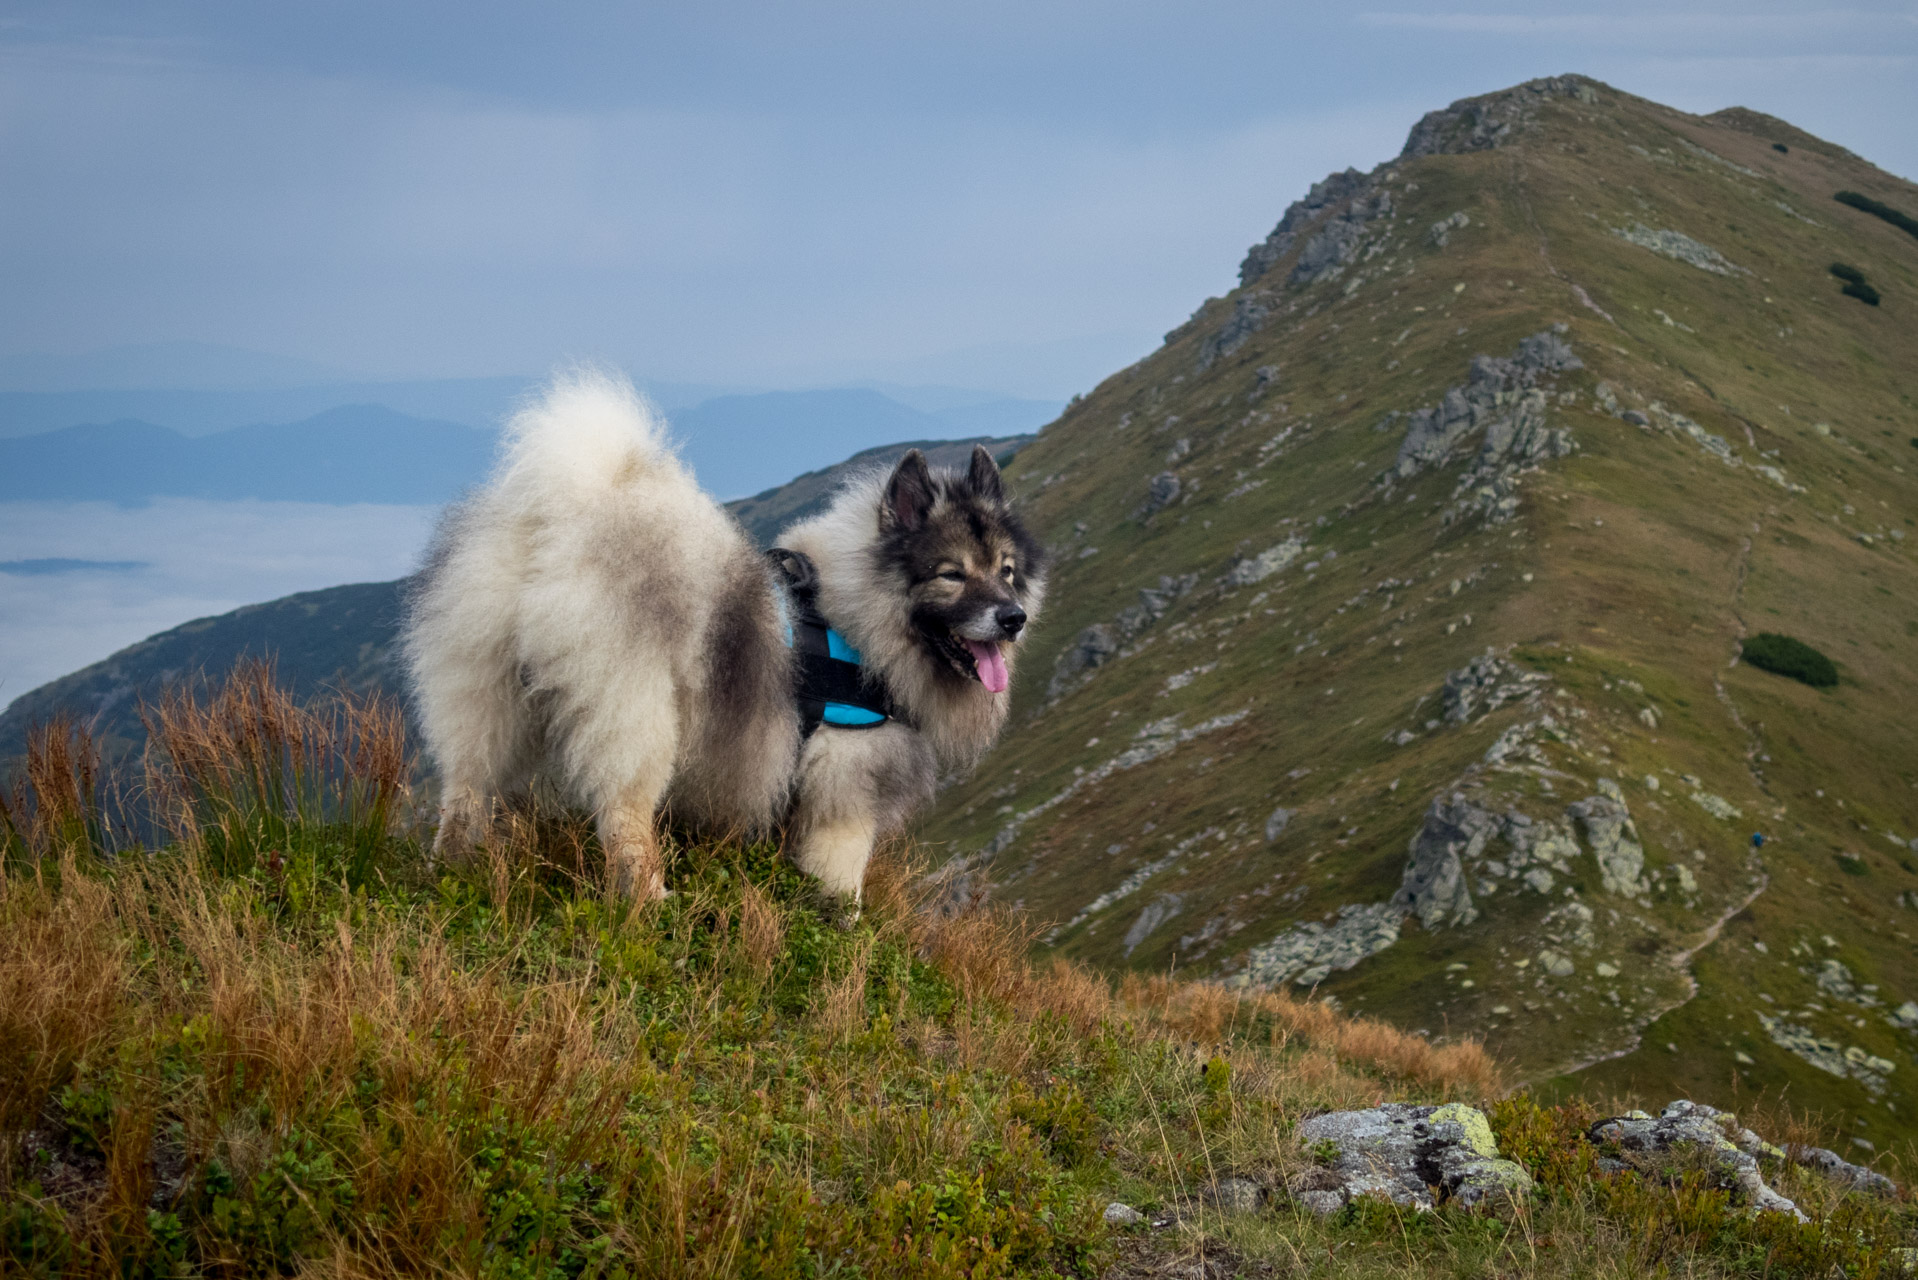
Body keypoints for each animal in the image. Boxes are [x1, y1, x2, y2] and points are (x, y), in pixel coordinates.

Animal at [400, 376, 1051, 905]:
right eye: (952, 575)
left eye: (1007, 571)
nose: (1013, 618)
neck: (858, 619)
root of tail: (559, 522)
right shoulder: (844, 794)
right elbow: (843, 892)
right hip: (638, 715)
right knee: (624, 815)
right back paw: (651, 901)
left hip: (486, 701)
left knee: (466, 791)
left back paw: (451, 875)